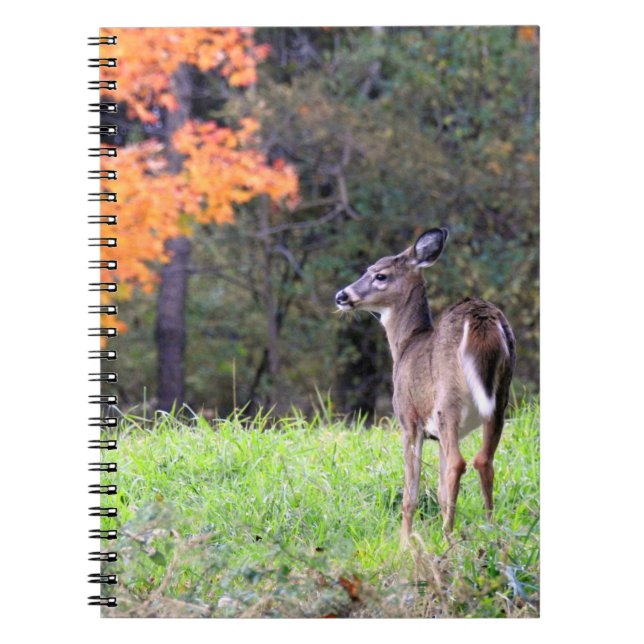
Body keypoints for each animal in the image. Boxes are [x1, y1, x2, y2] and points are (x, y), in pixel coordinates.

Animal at [335, 227, 516, 544]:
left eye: (379, 275)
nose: (341, 295)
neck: (405, 345)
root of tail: (481, 319)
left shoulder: (409, 419)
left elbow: (411, 491)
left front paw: (405, 542)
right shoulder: (437, 434)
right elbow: (441, 491)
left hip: (448, 399)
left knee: (459, 462)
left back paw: (447, 538)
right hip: (499, 398)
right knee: (483, 460)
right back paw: (490, 531)